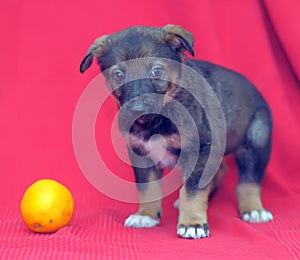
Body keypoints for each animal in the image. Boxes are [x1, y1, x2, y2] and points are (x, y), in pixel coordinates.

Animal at [81, 25, 274, 239]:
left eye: (156, 71)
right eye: (118, 75)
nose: (137, 109)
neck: (159, 119)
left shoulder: (199, 148)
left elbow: (192, 191)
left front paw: (193, 223)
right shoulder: (141, 153)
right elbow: (148, 188)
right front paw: (146, 215)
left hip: (256, 140)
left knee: (249, 181)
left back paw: (254, 210)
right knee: (220, 169)